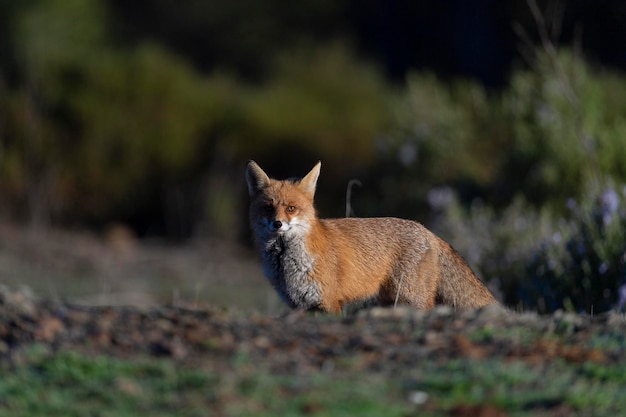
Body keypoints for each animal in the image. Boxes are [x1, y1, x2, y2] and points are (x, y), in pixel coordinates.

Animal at [246, 159, 494, 312]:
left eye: (291, 208)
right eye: (268, 208)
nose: (277, 223)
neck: (286, 263)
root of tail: (429, 232)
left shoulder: (328, 302)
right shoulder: (300, 306)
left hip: (412, 297)